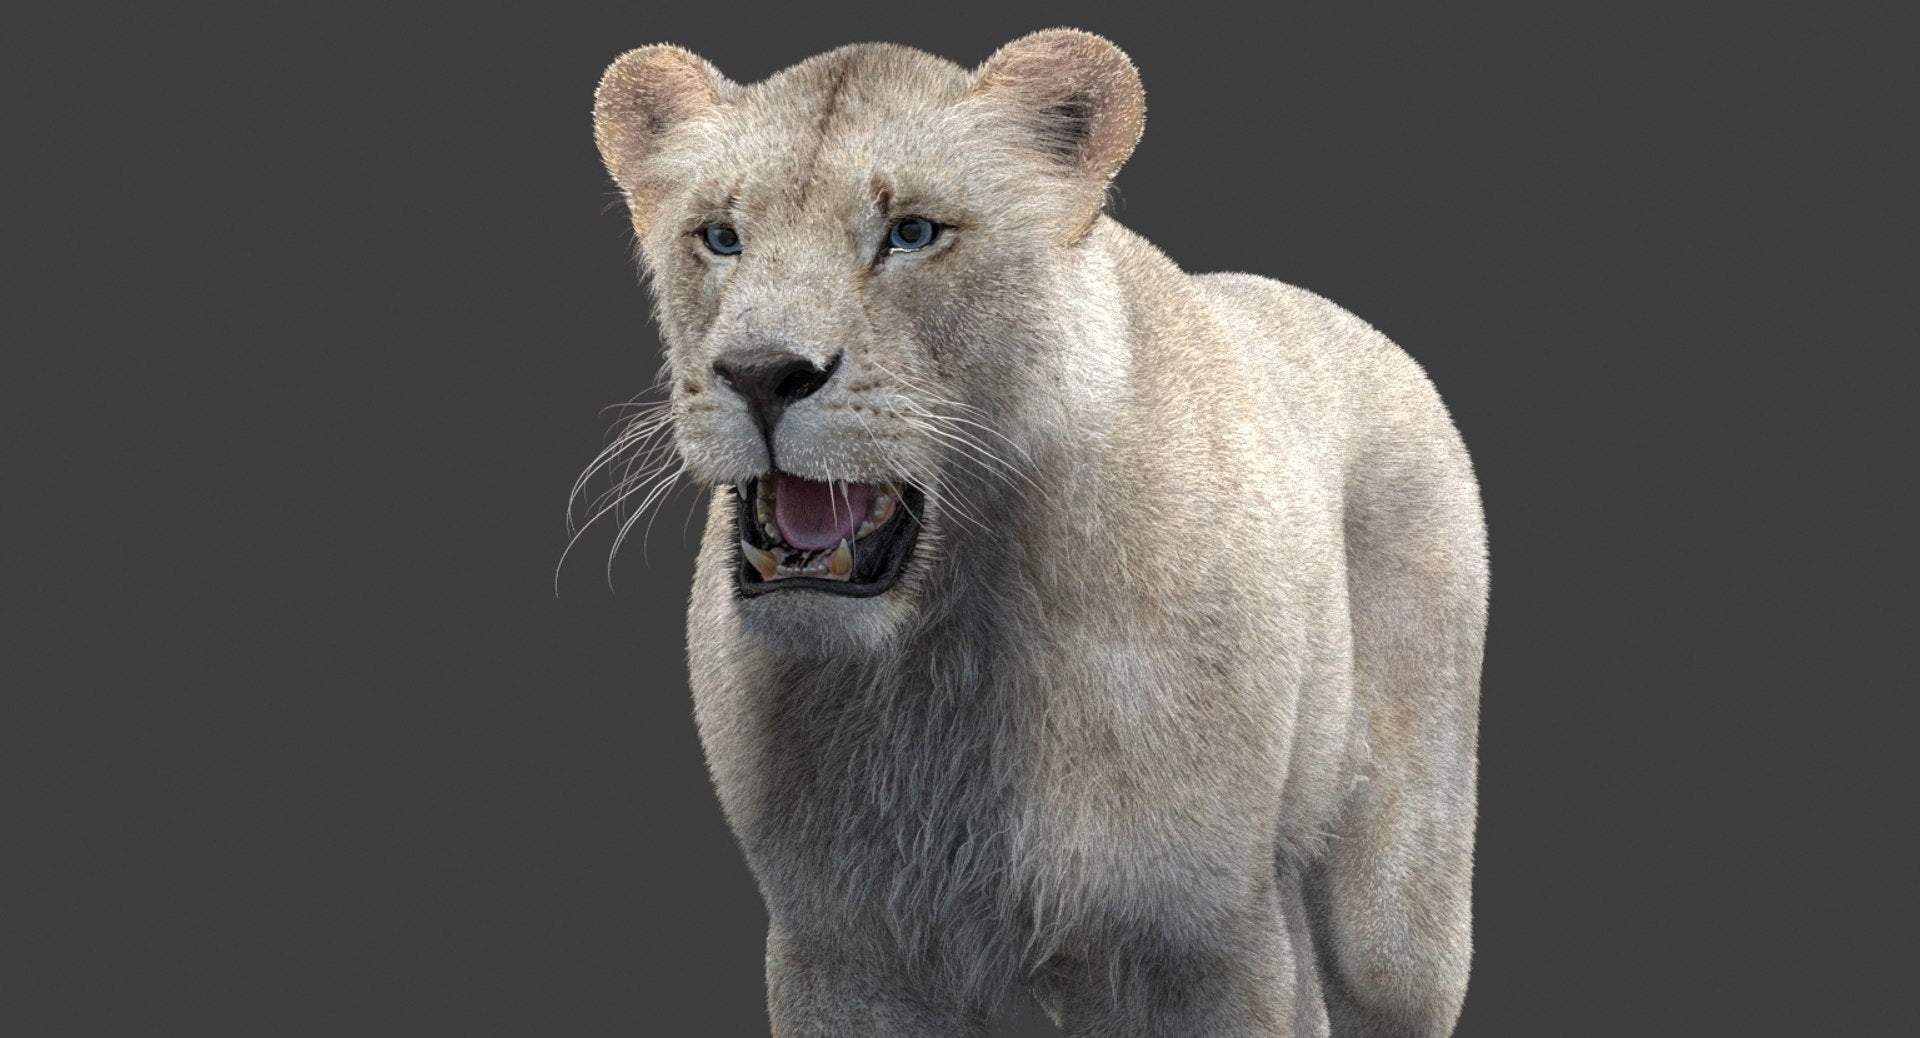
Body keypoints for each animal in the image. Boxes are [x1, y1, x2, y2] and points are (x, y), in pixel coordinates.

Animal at [583, 28, 1488, 1037]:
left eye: (912, 233)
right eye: (721, 236)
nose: (760, 373)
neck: (941, 654)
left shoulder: (1199, 939)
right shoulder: (843, 946)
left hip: (1395, 906)